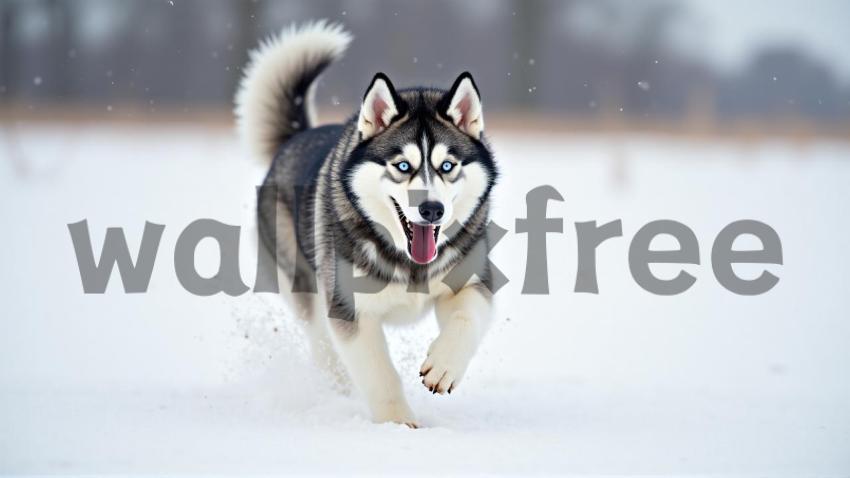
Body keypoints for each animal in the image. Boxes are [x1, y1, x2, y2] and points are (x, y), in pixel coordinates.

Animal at [234, 22, 496, 428]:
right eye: (402, 166)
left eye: (447, 166)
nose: (432, 210)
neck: (409, 264)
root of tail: (297, 137)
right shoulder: (349, 307)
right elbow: (377, 371)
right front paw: (397, 423)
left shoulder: (471, 281)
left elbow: (467, 319)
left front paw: (443, 367)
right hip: (306, 287)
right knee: (323, 344)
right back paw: (338, 391)